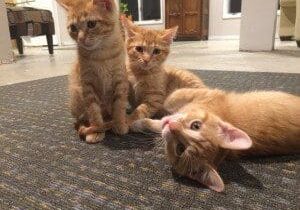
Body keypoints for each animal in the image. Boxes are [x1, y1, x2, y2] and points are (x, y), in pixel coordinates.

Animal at [56, 0, 128, 143]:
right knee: (82, 117)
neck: (102, 55)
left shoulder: (120, 79)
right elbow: (93, 110)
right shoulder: (87, 84)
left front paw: (119, 123)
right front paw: (97, 129)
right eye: (73, 28)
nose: (80, 39)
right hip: (75, 94)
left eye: (91, 24)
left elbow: (119, 105)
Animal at [132, 88, 300, 192]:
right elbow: (170, 103)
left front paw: (138, 123)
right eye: (196, 125)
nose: (172, 126)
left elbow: (169, 100)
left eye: (180, 148)